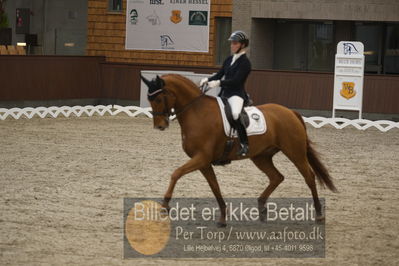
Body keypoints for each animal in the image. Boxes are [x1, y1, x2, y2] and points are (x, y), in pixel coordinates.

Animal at [141, 74, 338, 227]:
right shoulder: (204, 162)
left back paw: (319, 214)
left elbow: (176, 173)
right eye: (150, 99)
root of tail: (291, 112)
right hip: (261, 157)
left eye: (158, 99)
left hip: (295, 152)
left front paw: (165, 205)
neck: (197, 112)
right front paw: (222, 218)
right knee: (277, 177)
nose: (159, 126)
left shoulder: (201, 158)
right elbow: (215, 187)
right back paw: (262, 208)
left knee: (309, 177)